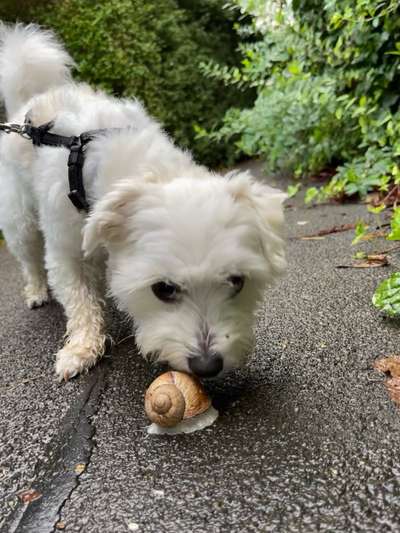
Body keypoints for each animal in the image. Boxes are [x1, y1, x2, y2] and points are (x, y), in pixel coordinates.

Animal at [0, 25, 288, 380]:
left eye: (237, 281)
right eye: (163, 289)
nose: (207, 366)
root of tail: (29, 102)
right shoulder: (65, 249)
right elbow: (79, 300)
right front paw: (82, 348)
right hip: (20, 221)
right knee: (29, 258)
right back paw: (38, 292)